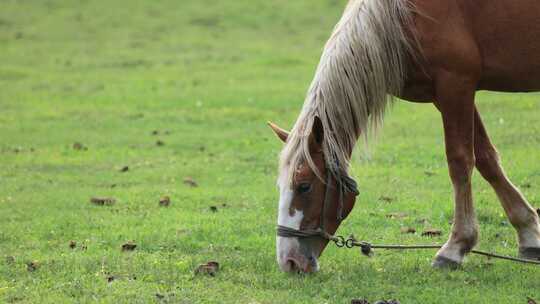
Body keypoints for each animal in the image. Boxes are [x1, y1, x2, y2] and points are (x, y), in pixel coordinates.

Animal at [268, 0, 540, 272]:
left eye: (304, 186)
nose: (289, 261)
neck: (404, 17)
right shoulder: (444, 94)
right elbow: (486, 159)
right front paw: (528, 232)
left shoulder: (456, 84)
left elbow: (460, 161)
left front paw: (455, 246)